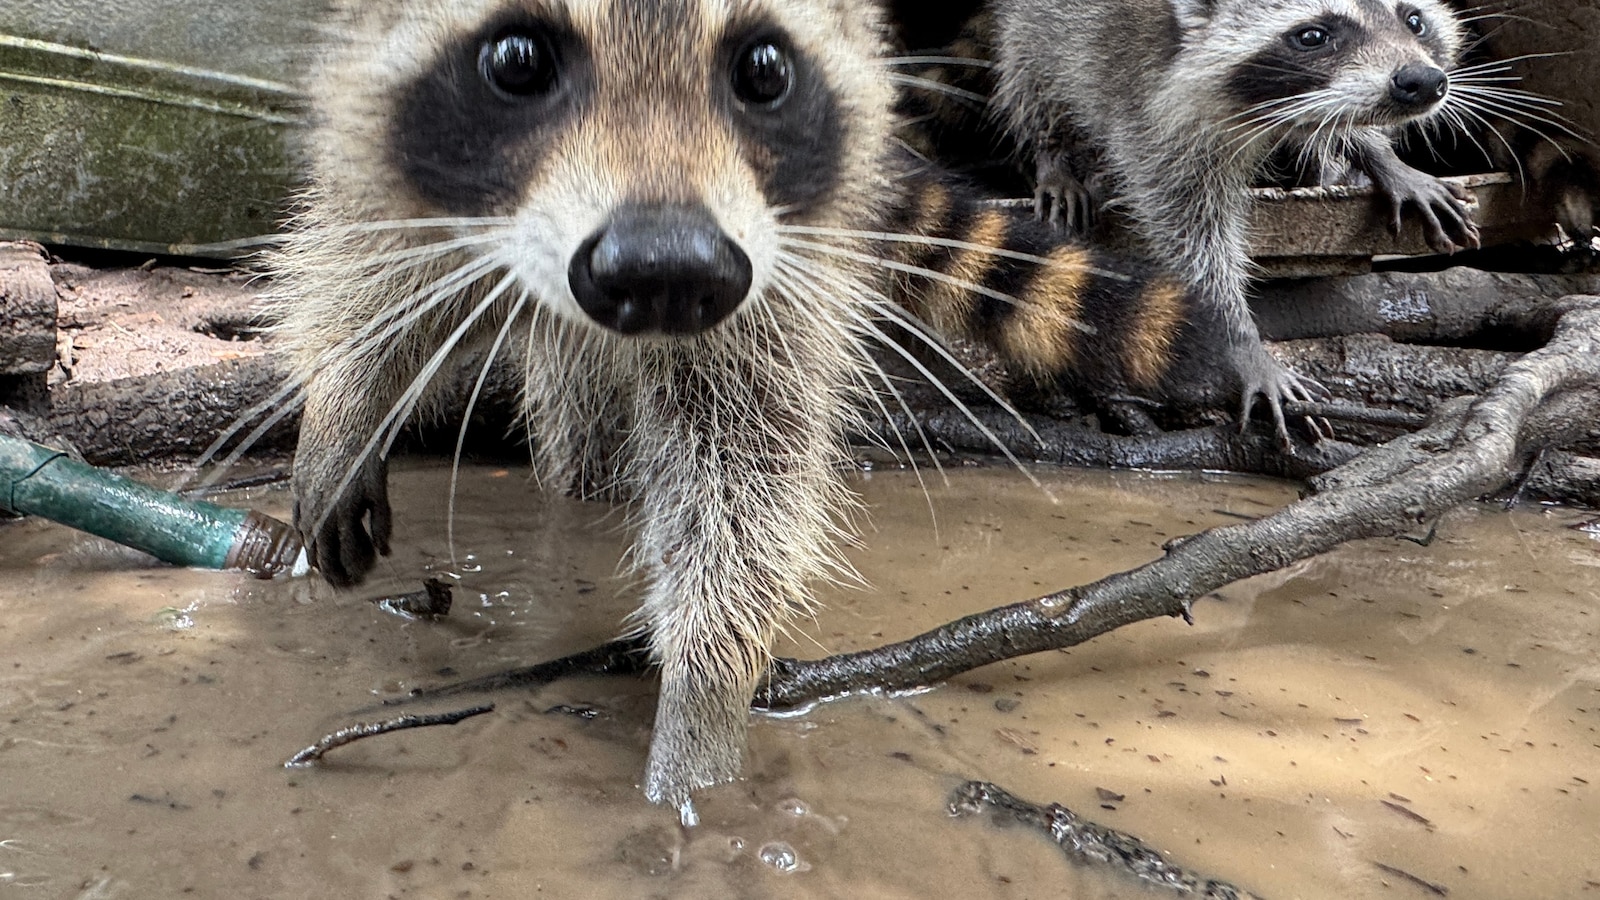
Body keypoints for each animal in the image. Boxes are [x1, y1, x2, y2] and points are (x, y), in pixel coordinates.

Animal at [269, 0, 1229, 821]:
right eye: (517, 62)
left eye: (765, 71)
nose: (662, 270)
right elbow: (369, 263)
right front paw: (343, 411)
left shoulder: (769, 264)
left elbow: (747, 458)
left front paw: (704, 692)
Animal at [992, 0, 1483, 435]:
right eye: (1312, 36)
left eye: (1414, 21)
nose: (1424, 81)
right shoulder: (1148, 103)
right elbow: (1190, 233)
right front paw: (1239, 338)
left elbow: (1335, 119)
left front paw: (1380, 157)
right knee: (1031, 67)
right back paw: (1053, 157)